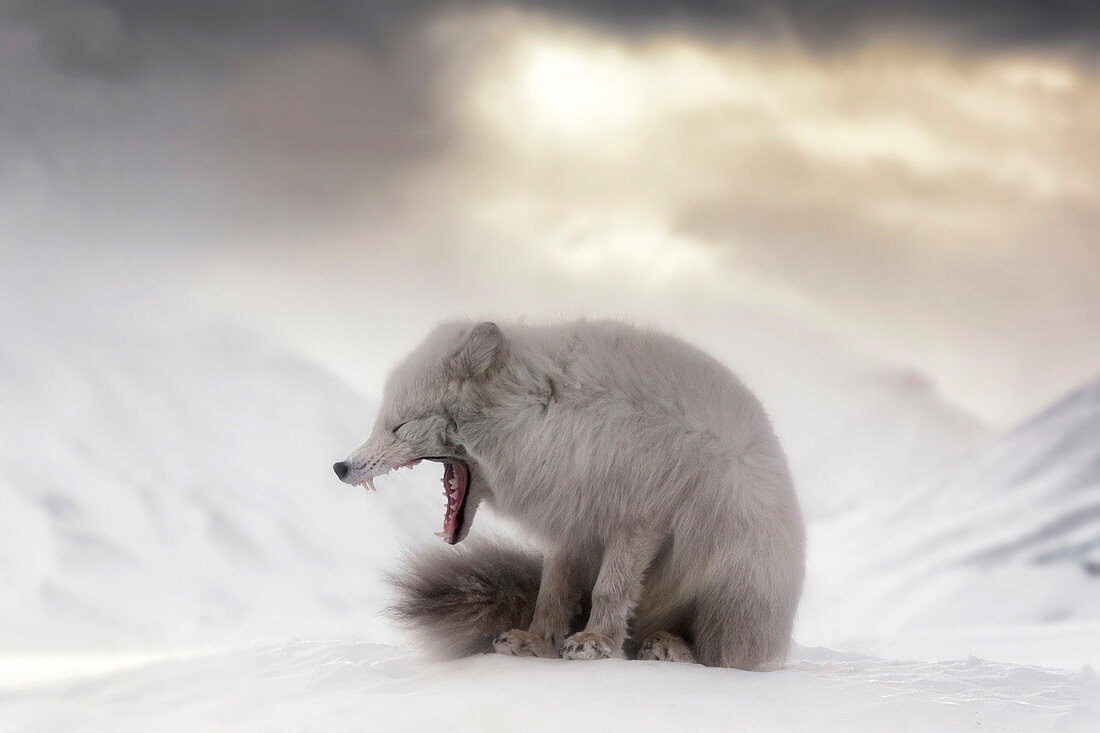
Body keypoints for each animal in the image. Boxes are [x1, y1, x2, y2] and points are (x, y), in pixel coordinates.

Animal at [330, 319, 805, 669]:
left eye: (398, 426)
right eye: (382, 423)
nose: (340, 467)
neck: (546, 415)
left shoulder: (639, 519)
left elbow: (610, 590)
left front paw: (596, 642)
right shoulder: (569, 520)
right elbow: (551, 594)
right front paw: (538, 643)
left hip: (735, 588)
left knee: (723, 658)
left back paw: (671, 647)